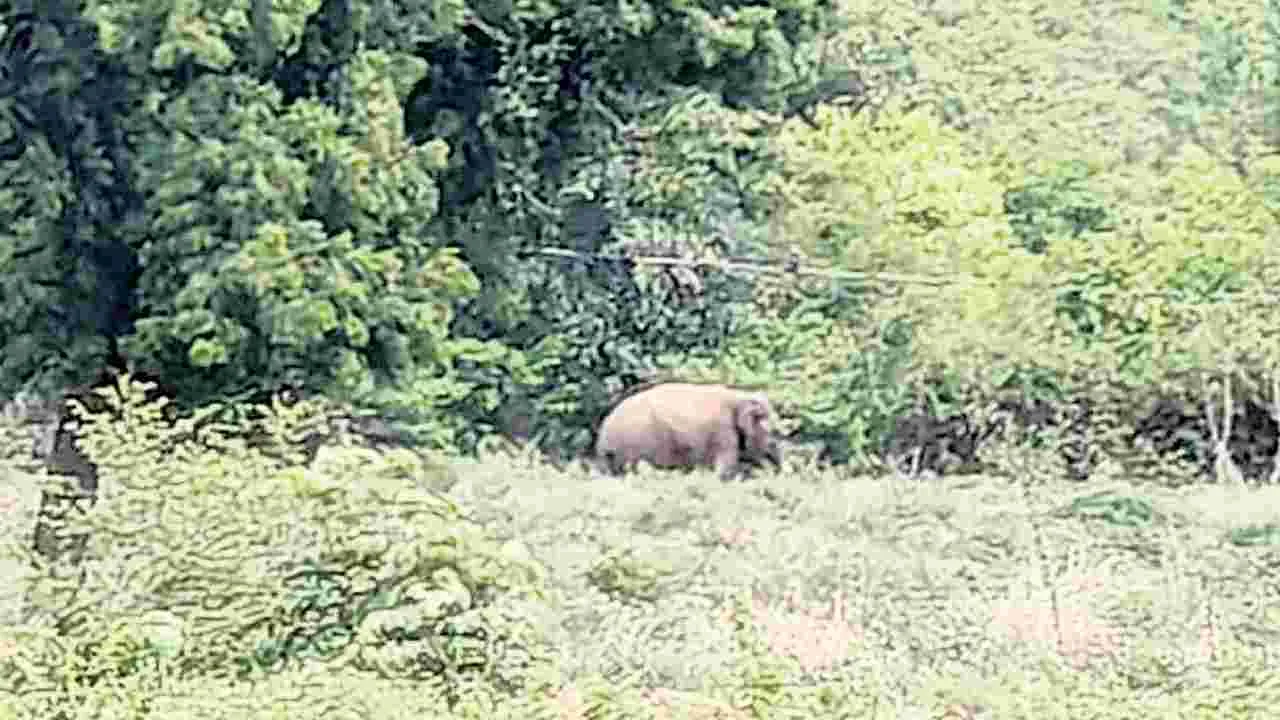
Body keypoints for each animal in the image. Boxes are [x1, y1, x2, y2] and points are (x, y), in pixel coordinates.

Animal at [593, 382, 782, 481]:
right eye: (772, 432)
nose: (777, 472)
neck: (739, 396)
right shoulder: (723, 431)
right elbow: (725, 464)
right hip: (636, 445)